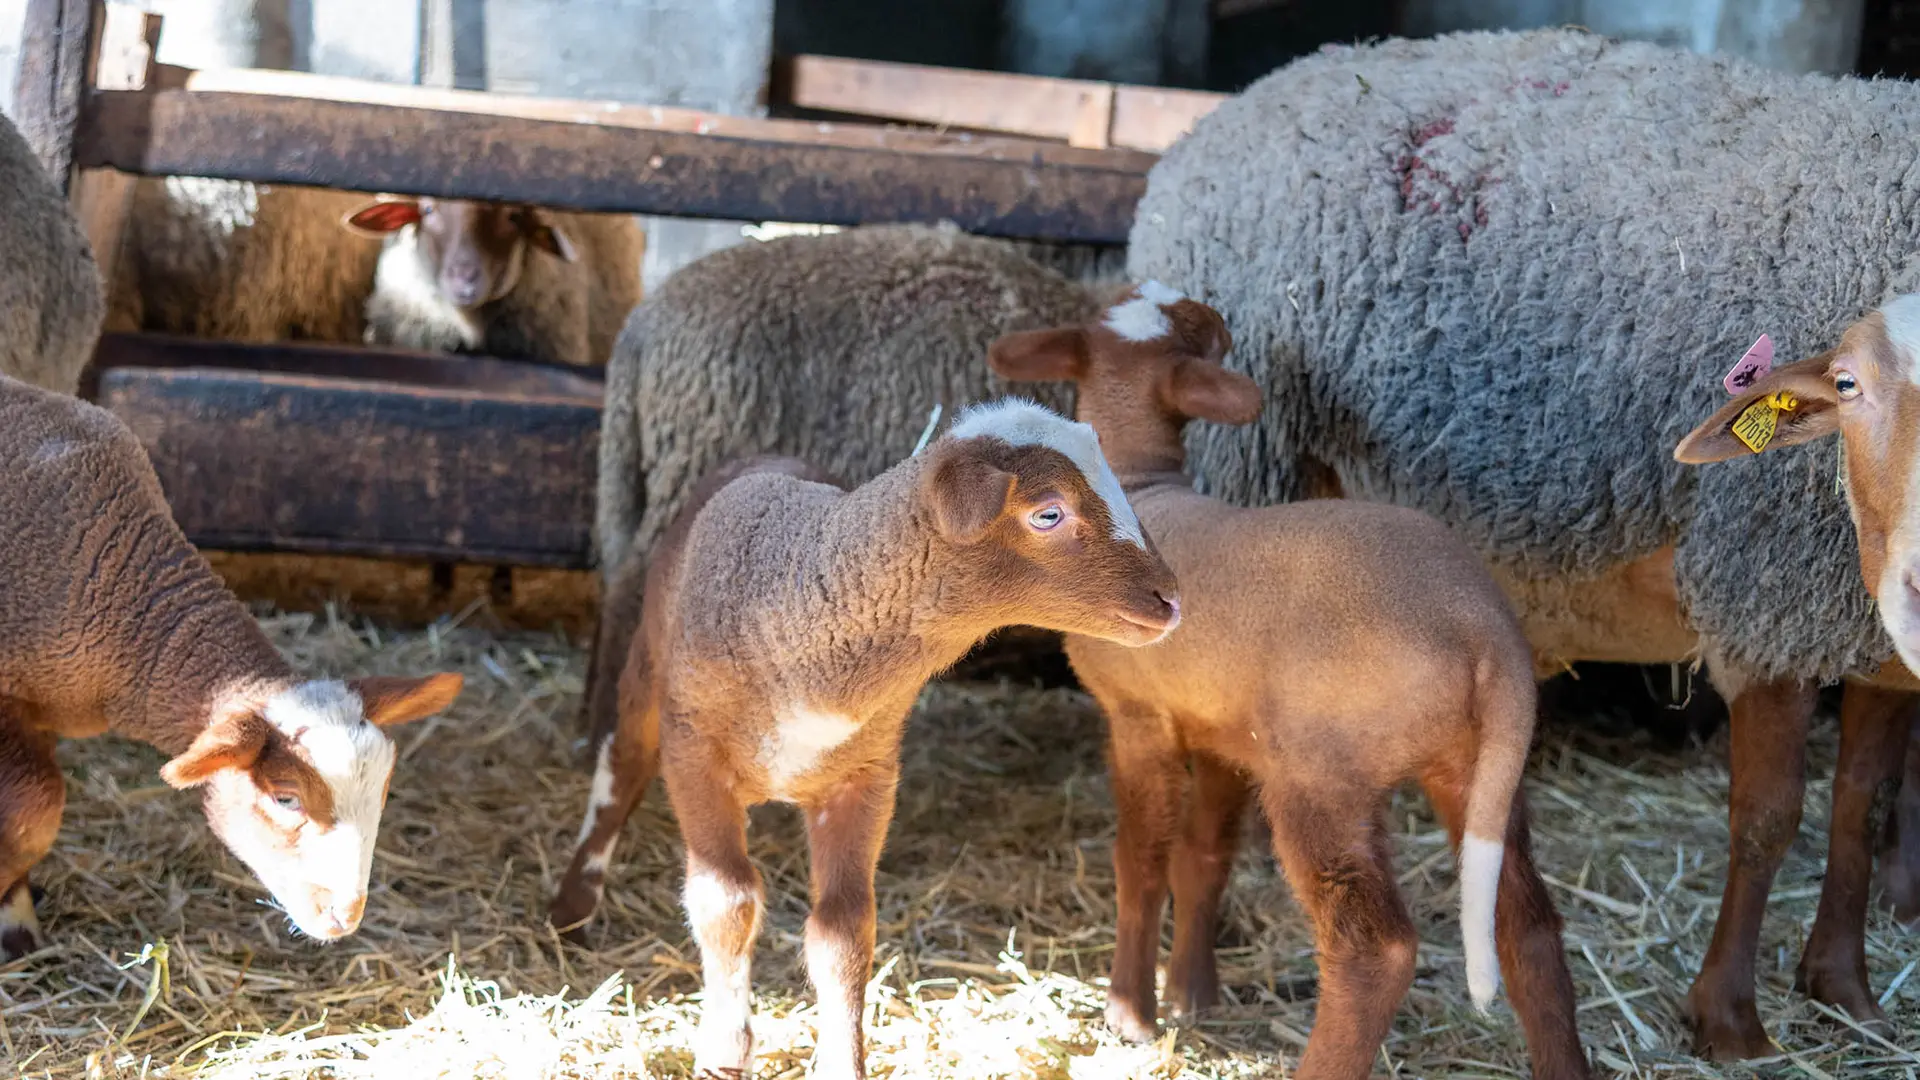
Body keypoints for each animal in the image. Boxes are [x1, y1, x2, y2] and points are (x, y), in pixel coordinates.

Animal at [552, 401, 1182, 1076]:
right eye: (1048, 512)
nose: (1171, 600)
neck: (805, 605)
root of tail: (764, 454)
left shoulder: (866, 776)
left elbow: (844, 931)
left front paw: (841, 1060)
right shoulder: (696, 754)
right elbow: (726, 901)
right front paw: (724, 1049)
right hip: (650, 663)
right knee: (620, 766)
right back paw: (572, 907)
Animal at [990, 286, 1589, 1076]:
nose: (1219, 316)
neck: (1145, 488)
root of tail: (1485, 629)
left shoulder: (1138, 716)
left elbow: (1141, 863)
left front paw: (1130, 1013)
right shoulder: (1220, 732)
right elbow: (1202, 858)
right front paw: (1192, 994)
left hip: (1321, 774)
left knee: (1376, 950)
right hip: (1476, 765)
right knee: (1528, 927)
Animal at [1121, 27, 1920, 1060]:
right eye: (1852, 385)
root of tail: (1227, 113)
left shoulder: (1866, 625)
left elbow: (1862, 801)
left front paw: (1842, 990)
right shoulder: (1766, 586)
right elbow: (1769, 816)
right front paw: (1730, 1021)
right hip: (1248, 466)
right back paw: (1195, 986)